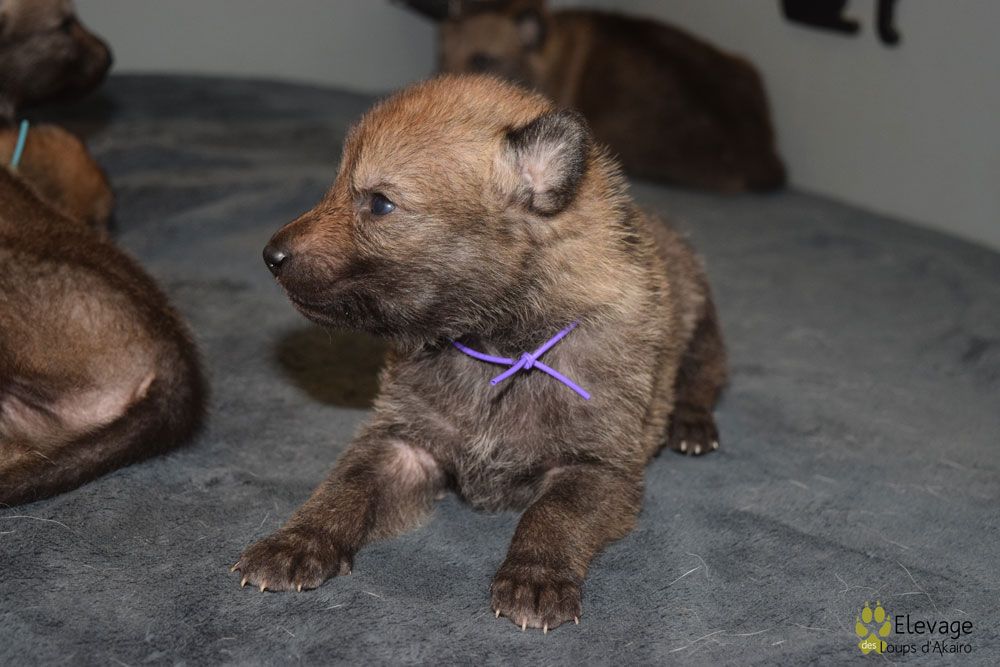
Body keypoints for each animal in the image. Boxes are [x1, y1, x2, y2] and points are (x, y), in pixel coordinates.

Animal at [234, 75, 727, 632]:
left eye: (380, 204)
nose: (270, 255)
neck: (498, 345)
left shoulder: (597, 467)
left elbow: (552, 514)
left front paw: (536, 577)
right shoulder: (402, 443)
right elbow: (343, 488)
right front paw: (296, 542)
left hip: (703, 327)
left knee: (705, 375)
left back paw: (691, 426)